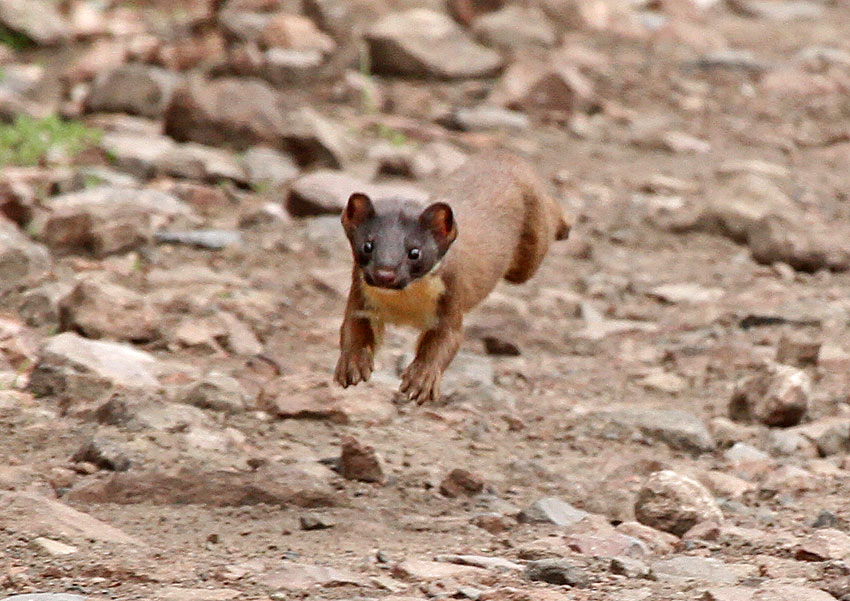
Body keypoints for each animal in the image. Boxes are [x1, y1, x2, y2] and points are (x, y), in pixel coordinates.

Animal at [332, 150, 568, 404]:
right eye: (367, 245)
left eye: (415, 251)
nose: (385, 273)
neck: (404, 308)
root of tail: (505, 156)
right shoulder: (359, 296)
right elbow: (352, 330)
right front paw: (352, 366)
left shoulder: (452, 297)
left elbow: (445, 342)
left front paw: (420, 381)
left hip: (528, 255)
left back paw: (566, 224)